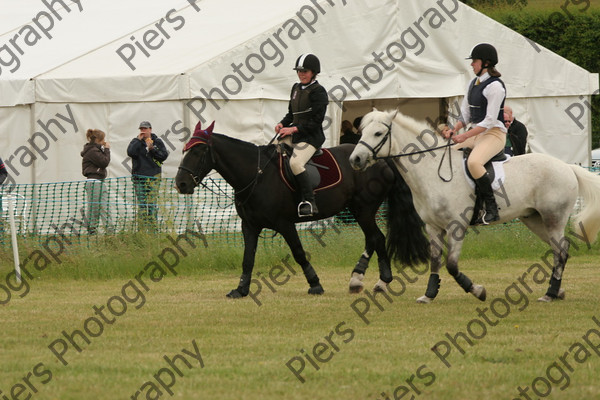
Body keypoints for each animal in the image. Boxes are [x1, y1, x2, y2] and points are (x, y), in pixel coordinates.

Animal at [176, 120, 428, 298]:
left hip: (364, 209)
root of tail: (382, 160)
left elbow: (298, 252)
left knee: (377, 238)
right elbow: (248, 258)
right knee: (372, 239)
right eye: (184, 150)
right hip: (359, 210)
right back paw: (357, 279)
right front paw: (241, 290)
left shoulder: (284, 224)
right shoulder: (250, 226)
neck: (256, 174)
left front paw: (315, 284)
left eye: (197, 152)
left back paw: (382, 280)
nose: (181, 184)